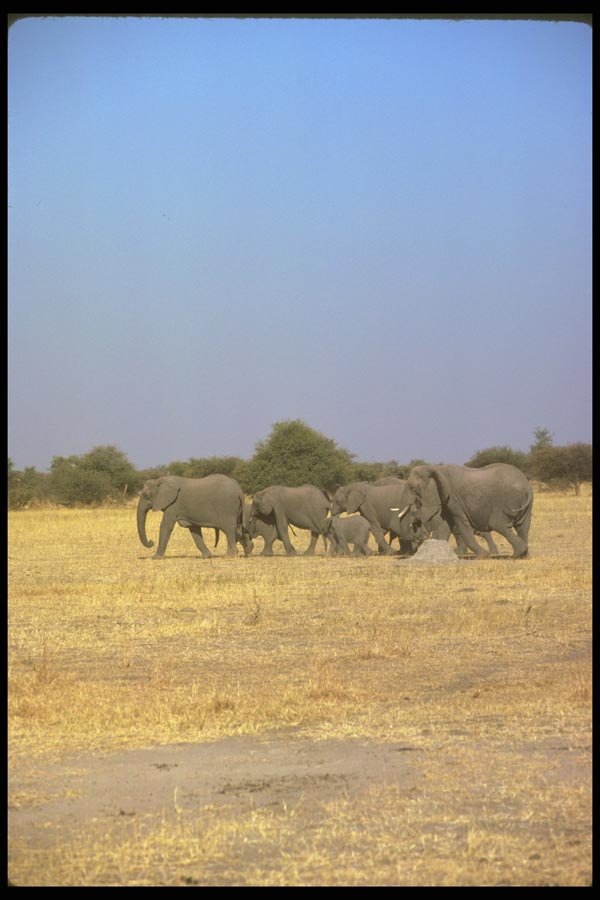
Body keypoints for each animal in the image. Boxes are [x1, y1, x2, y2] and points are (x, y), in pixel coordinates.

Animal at [396, 463, 533, 559]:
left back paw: (517, 553)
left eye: (413, 488)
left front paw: (482, 556)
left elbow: (462, 525)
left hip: (506, 501)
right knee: (523, 527)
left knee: (498, 524)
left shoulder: (454, 499)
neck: (435, 468)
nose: (420, 537)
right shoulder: (446, 499)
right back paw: (524, 555)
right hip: (526, 505)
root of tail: (527, 487)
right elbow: (445, 525)